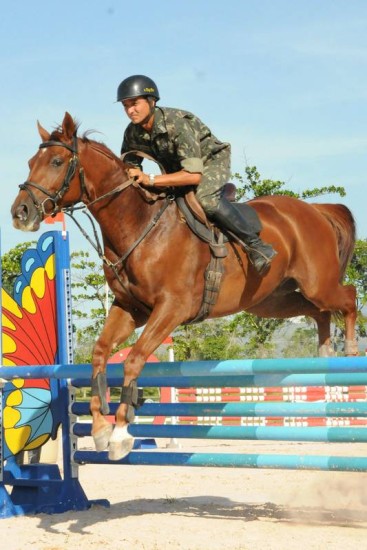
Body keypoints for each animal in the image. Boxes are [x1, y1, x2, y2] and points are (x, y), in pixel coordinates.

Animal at [9, 112, 360, 462]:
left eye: (57, 161)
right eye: (30, 162)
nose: (20, 213)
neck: (139, 224)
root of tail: (317, 211)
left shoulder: (172, 308)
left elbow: (134, 358)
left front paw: (121, 434)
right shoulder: (130, 309)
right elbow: (99, 353)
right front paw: (99, 429)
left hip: (317, 284)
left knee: (348, 298)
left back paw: (351, 349)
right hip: (272, 301)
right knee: (319, 312)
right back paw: (325, 353)